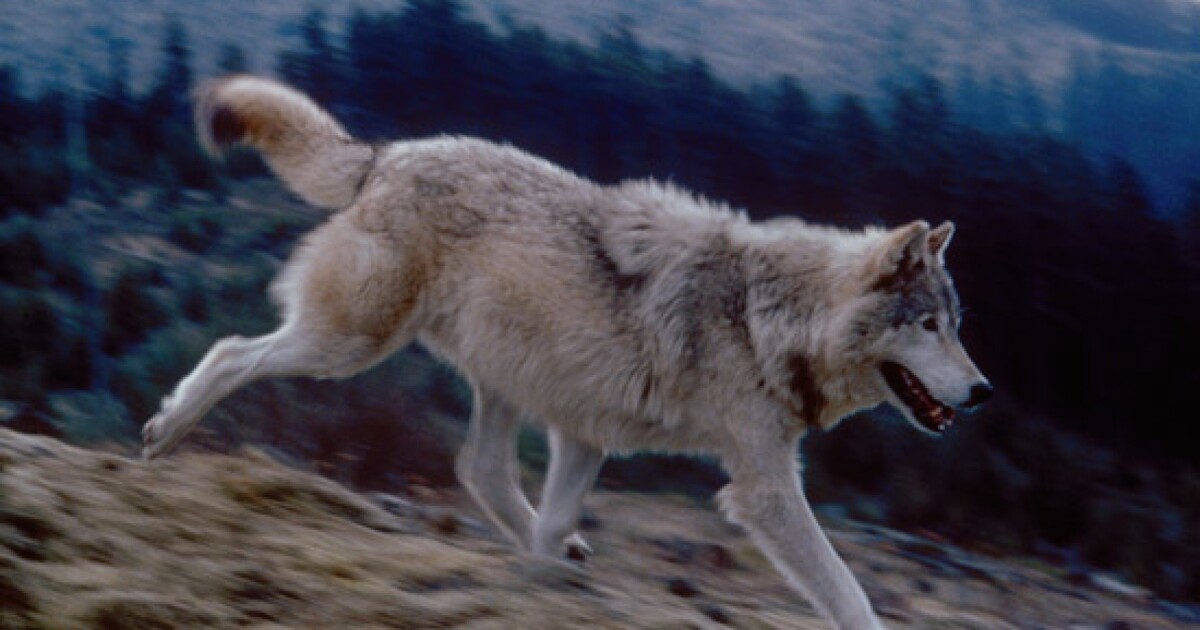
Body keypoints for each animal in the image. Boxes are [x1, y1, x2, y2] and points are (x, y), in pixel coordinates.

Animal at [142, 76, 992, 629]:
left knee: (478, 468)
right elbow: (848, 592)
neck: (764, 314)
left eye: (956, 323)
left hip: (519, 384)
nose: (984, 392)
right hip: (350, 345)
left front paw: (543, 578)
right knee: (233, 351)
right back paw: (164, 433)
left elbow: (548, 528)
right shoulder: (763, 488)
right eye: (927, 325)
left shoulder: (588, 433)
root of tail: (387, 155)